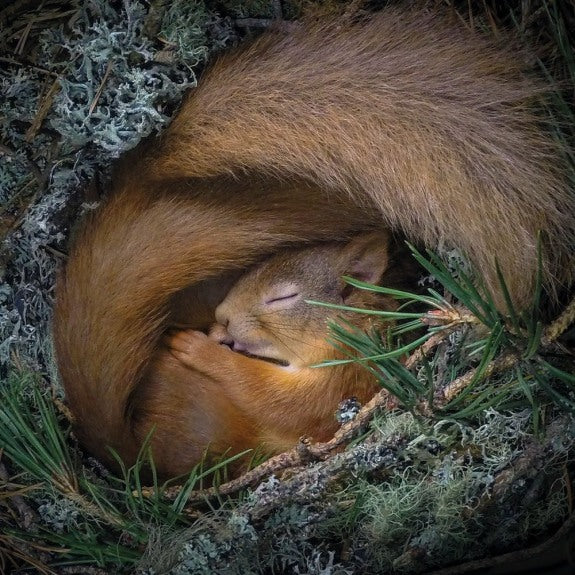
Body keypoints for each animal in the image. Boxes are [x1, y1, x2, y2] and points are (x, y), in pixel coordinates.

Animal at [53, 6, 575, 480]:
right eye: (252, 269)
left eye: (283, 297)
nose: (222, 318)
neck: (353, 326)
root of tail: (126, 453)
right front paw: (214, 335)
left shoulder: (344, 377)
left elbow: (280, 401)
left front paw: (201, 348)